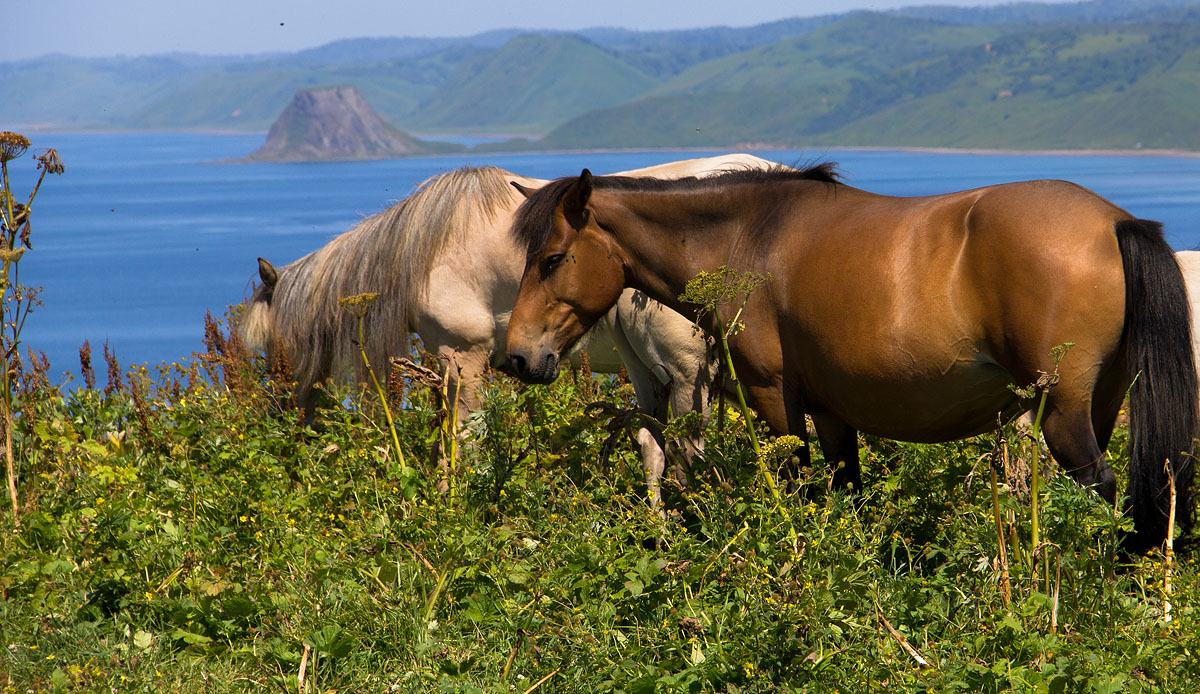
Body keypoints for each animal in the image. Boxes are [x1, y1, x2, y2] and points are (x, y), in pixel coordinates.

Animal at [241, 152, 777, 501]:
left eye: (271, 348)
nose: (283, 424)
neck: (429, 248)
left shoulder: (465, 358)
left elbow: (464, 441)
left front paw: (454, 506)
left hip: (687, 376)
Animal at [508, 163, 1200, 552]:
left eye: (552, 259)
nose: (517, 356)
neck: (748, 238)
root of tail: (1116, 224)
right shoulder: (833, 413)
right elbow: (844, 493)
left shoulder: (775, 400)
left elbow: (797, 488)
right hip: (1101, 405)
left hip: (1062, 413)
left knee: (1101, 486)